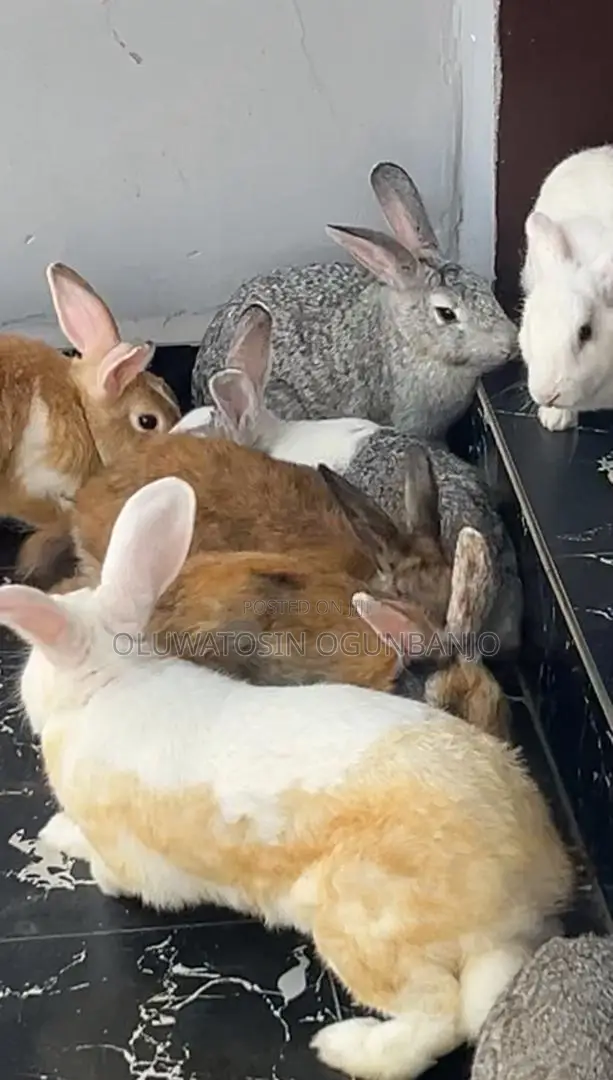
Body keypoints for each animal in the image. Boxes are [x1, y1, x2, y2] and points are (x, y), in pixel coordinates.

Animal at [0, 474, 573, 1080]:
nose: (24, 693)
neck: (113, 679)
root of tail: (523, 899)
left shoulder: (125, 856)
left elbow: (109, 869)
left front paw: (58, 836)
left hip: (359, 926)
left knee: (438, 1016)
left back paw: (343, 1046)